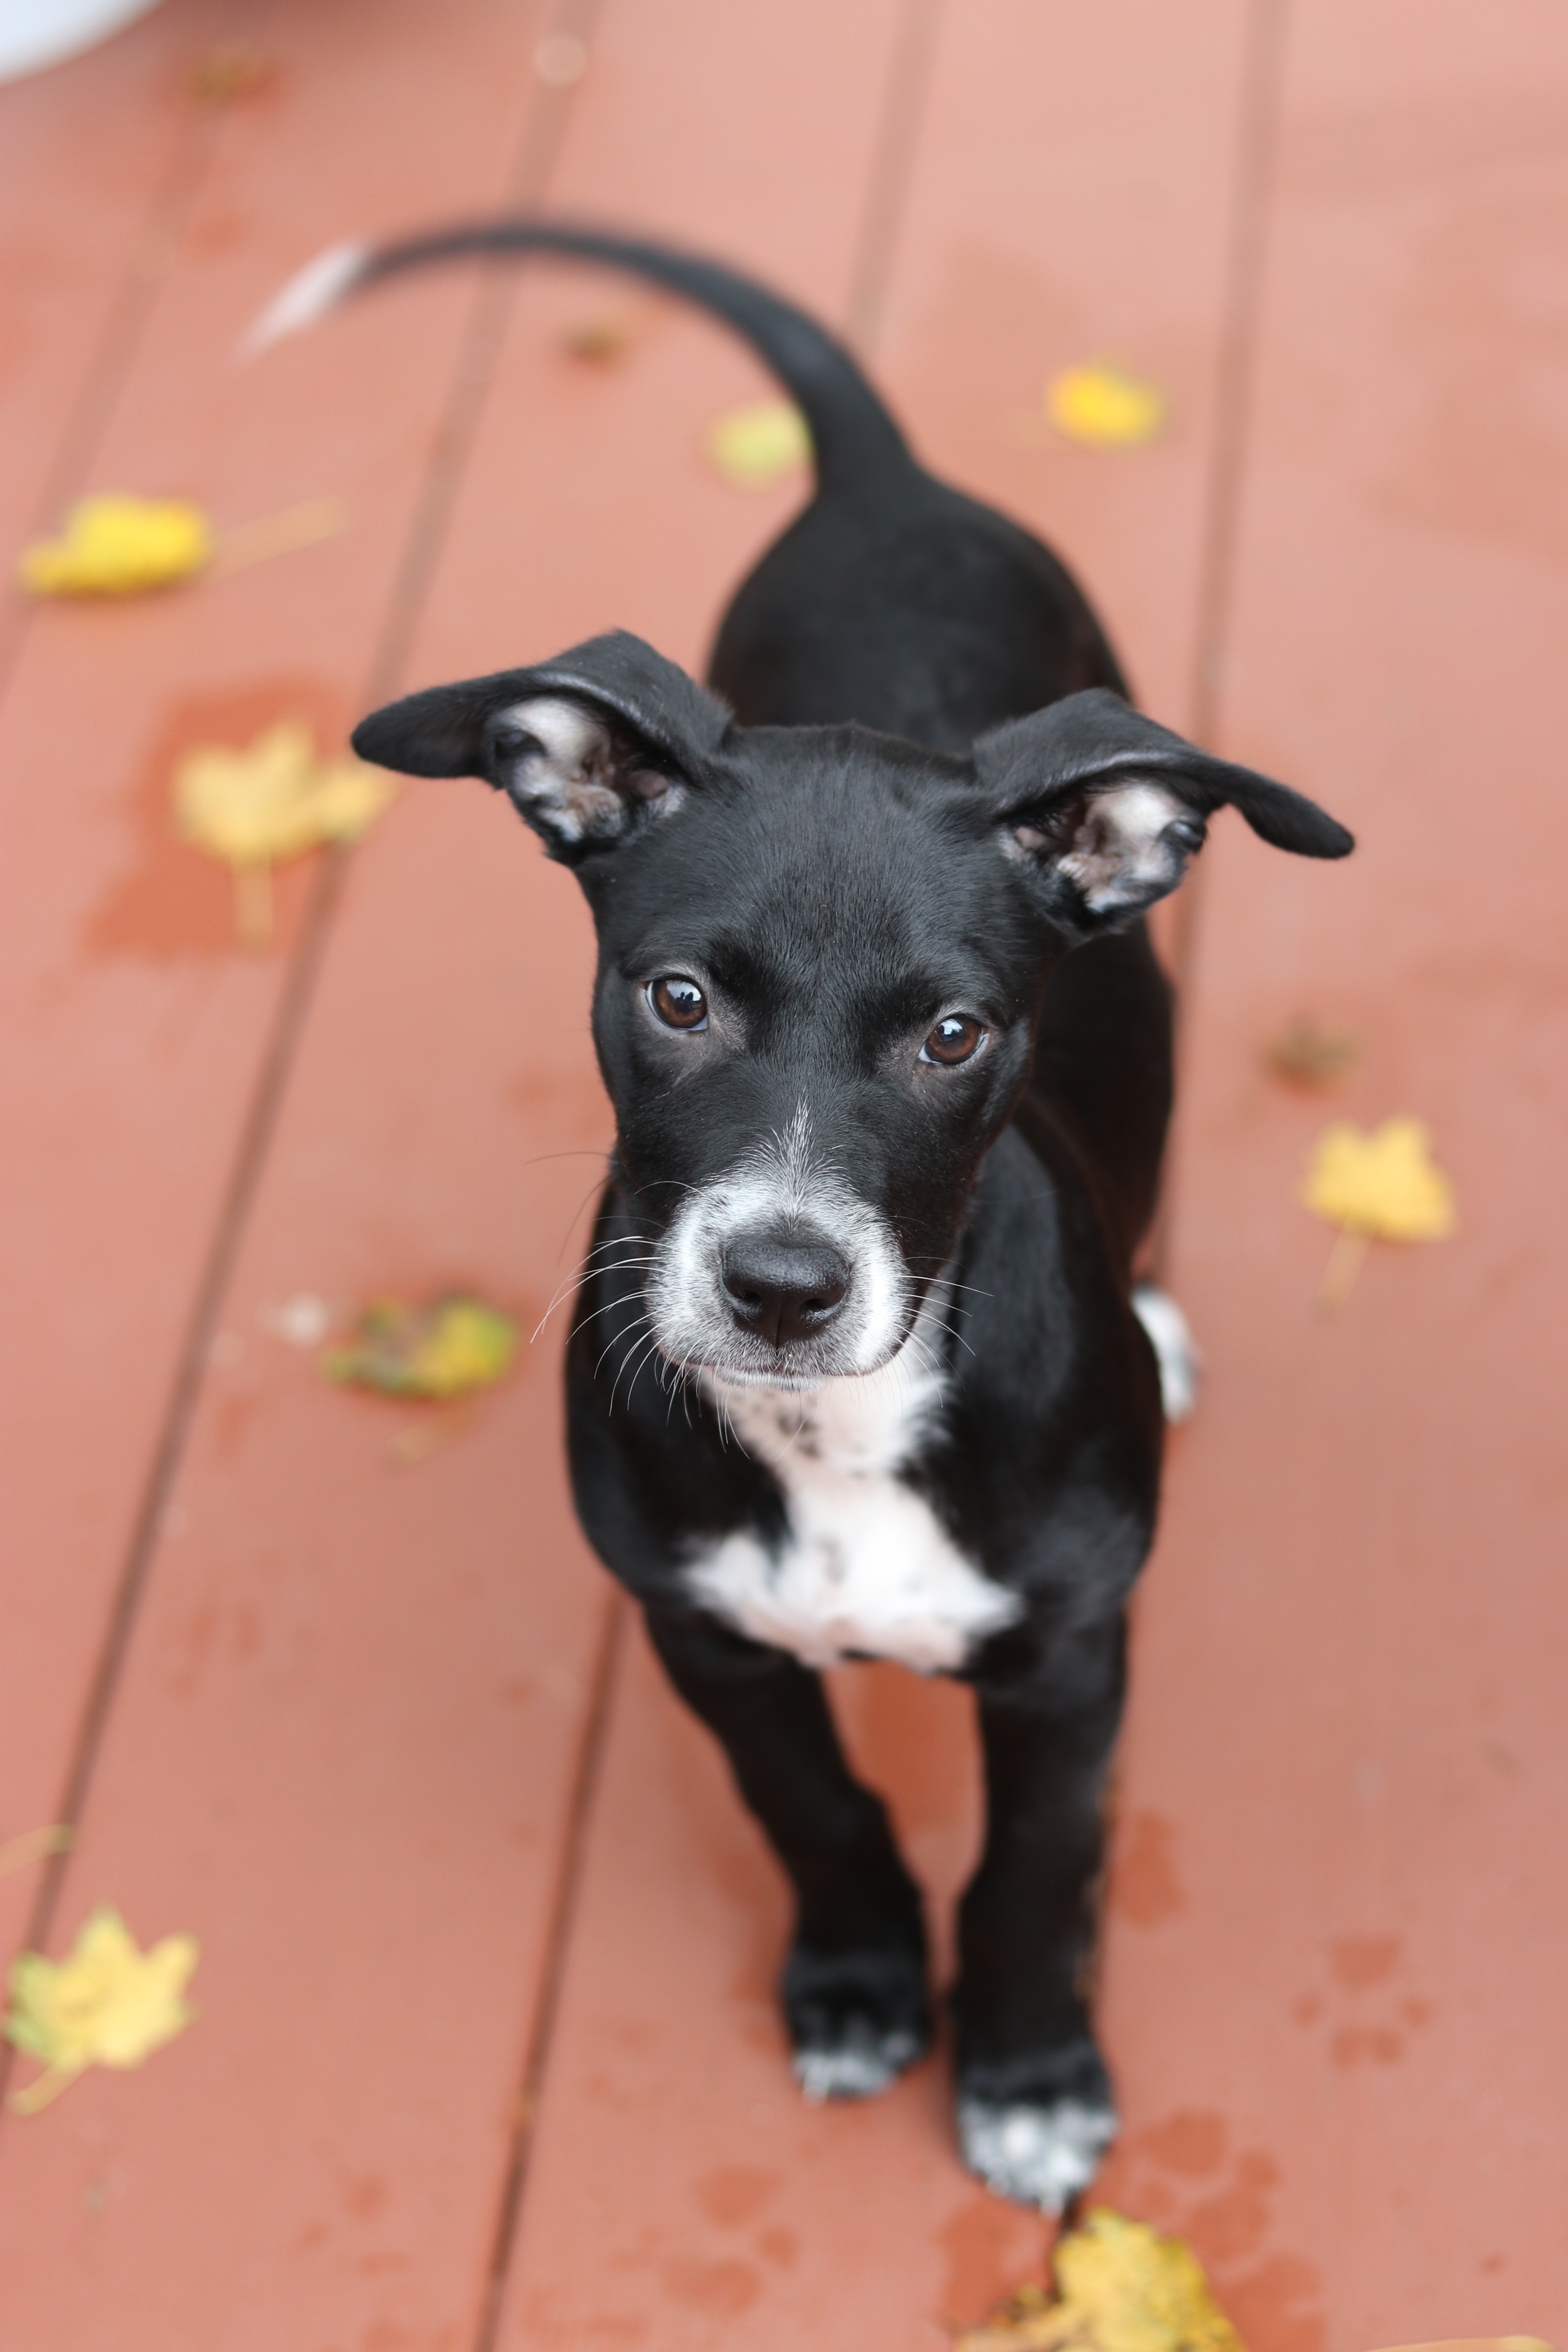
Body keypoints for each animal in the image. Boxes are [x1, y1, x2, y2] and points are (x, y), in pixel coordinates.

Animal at [253, 222, 1352, 2212]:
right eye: (677, 998)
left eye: (952, 1036)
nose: (776, 1286)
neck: (832, 1435)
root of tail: (882, 481)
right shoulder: (704, 1633)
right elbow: (817, 1808)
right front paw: (853, 1985)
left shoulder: (1069, 1660)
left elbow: (1034, 1867)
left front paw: (1026, 2074)